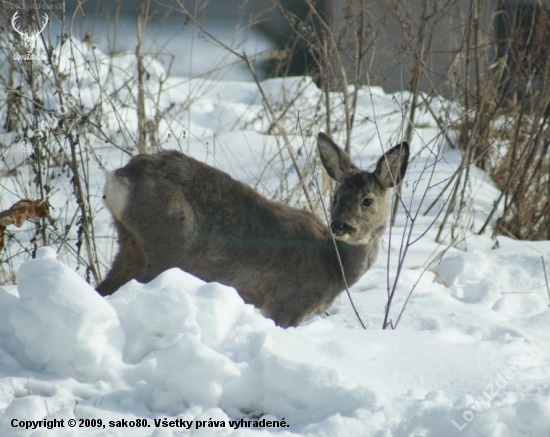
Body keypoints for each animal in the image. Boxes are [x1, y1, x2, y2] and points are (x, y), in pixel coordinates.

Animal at [98, 133, 410, 328]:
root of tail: (121, 179)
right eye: (335, 197)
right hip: (167, 246)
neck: (334, 266)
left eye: (367, 200)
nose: (340, 225)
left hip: (129, 246)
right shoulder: (287, 301)